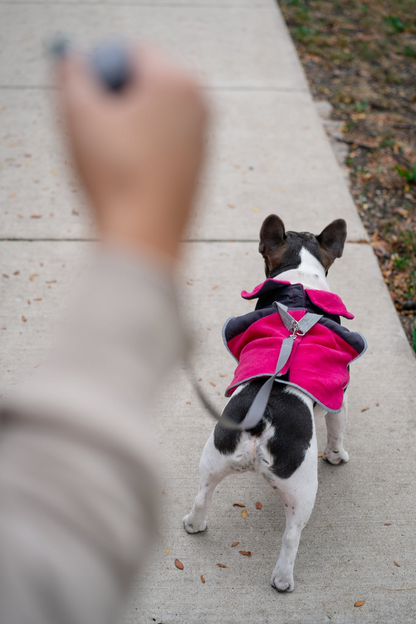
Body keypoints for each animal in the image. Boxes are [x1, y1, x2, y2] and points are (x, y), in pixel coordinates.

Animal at [184, 217, 366, 592]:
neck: (299, 282)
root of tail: (262, 419)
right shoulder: (339, 398)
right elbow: (337, 431)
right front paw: (338, 456)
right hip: (303, 488)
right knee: (292, 536)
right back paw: (283, 580)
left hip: (213, 457)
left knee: (202, 496)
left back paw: (194, 524)